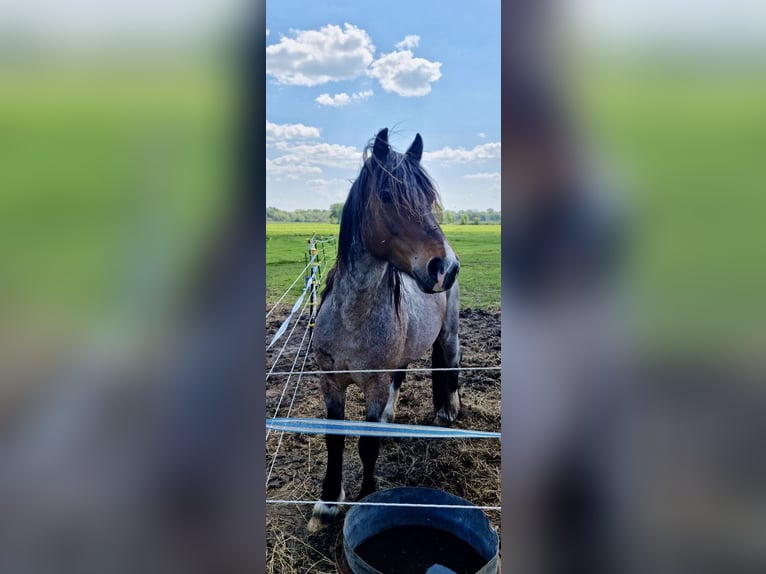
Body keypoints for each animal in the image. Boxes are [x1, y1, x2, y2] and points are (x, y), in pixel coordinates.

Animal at [308, 128, 462, 532]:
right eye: (389, 195)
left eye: (428, 198)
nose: (446, 267)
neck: (352, 319)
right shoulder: (330, 382)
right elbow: (334, 438)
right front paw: (328, 501)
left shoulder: (373, 385)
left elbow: (367, 444)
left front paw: (366, 499)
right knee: (402, 374)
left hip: (449, 335)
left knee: (451, 366)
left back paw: (449, 412)